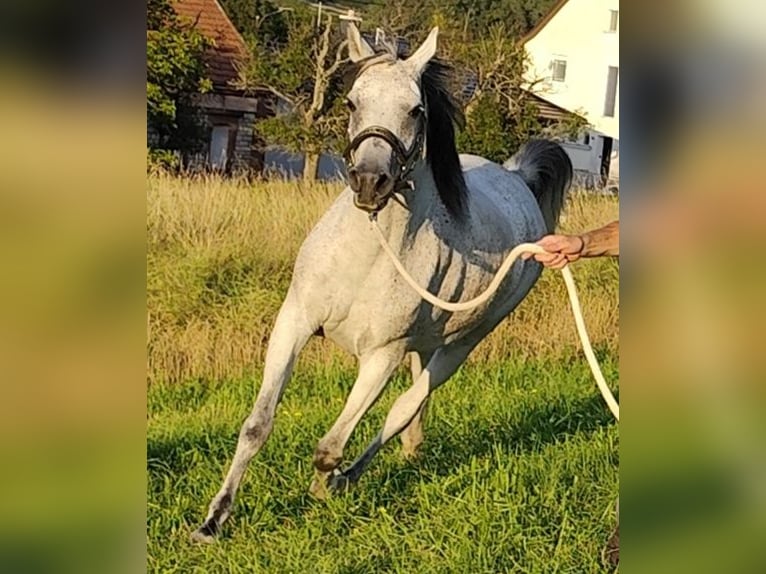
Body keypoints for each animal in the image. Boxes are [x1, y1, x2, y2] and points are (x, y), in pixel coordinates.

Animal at [194, 23, 576, 544]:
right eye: (352, 101)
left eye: (415, 110)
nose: (371, 181)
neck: (365, 255)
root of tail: (519, 179)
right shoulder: (293, 322)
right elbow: (258, 425)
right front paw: (212, 522)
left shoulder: (381, 356)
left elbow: (330, 445)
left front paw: (323, 489)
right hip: (425, 341)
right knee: (414, 402)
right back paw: (409, 453)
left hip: (463, 343)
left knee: (405, 407)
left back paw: (352, 477)